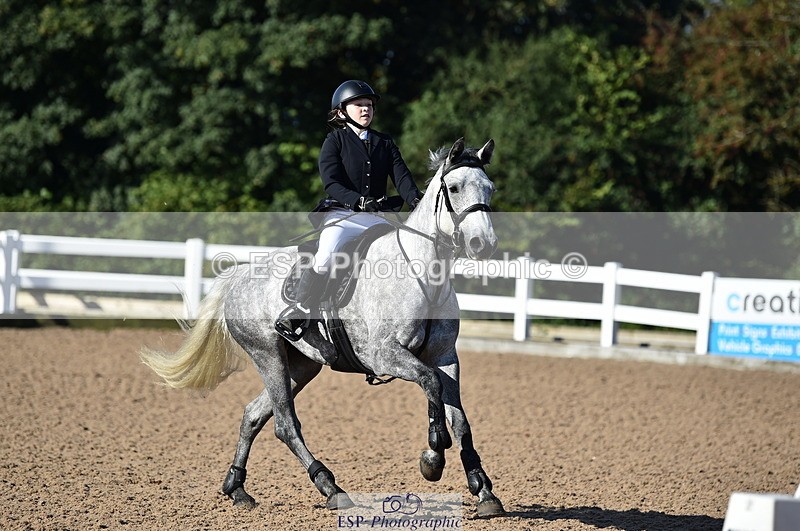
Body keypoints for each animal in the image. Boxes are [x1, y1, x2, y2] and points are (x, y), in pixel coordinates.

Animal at [140, 138, 505, 518]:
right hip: (268, 355)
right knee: (285, 425)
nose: (484, 245)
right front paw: (432, 458)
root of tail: (239, 275)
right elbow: (430, 383)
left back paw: (237, 488)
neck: (422, 273)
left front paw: (483, 490)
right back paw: (331, 487)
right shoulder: (384, 355)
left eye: (490, 188)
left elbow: (459, 419)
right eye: (454, 187)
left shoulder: (445, 357)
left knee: (254, 414)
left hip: (302, 366)